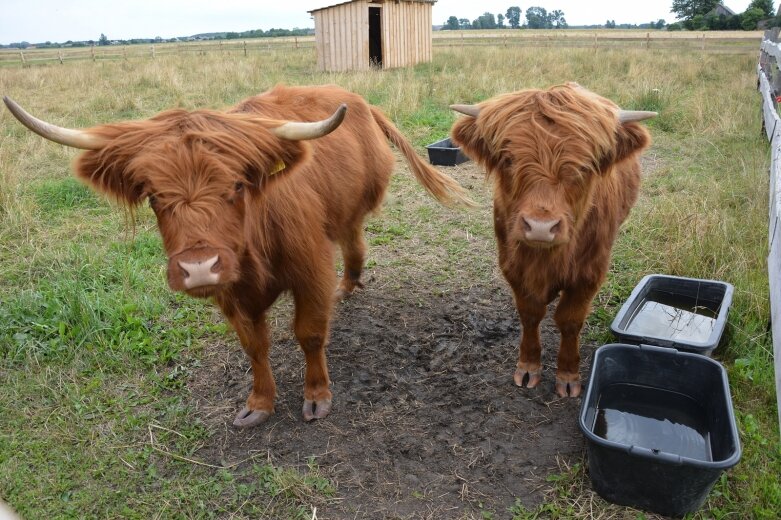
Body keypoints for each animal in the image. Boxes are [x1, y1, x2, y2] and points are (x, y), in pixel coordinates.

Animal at [4, 84, 470, 426]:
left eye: (237, 186)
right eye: (154, 197)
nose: (198, 268)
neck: (254, 250)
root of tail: (358, 100)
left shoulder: (311, 268)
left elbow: (309, 333)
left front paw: (317, 397)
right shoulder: (229, 292)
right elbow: (254, 345)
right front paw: (259, 404)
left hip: (350, 210)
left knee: (352, 238)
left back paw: (348, 284)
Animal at [448, 83, 656, 396]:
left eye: (584, 166)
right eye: (509, 160)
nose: (540, 227)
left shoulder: (589, 273)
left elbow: (569, 321)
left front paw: (568, 376)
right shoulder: (513, 266)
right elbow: (530, 314)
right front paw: (528, 367)